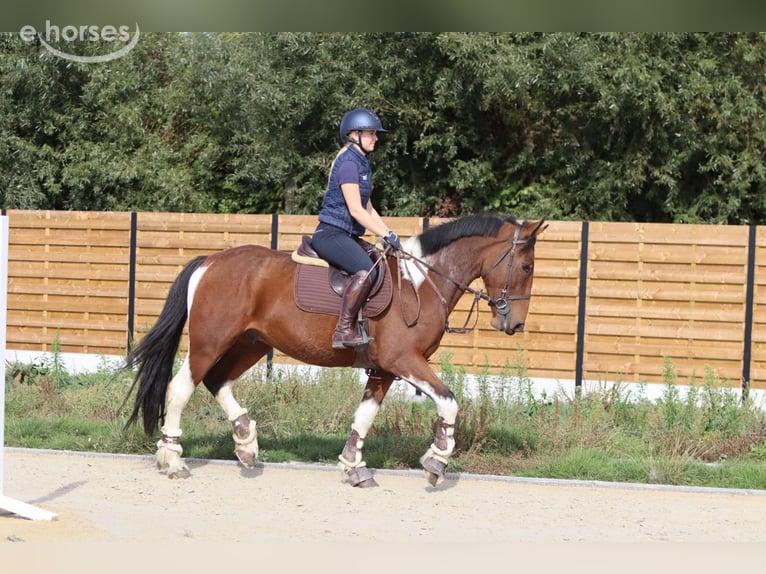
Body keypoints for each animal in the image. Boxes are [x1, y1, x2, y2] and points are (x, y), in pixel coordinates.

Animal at [124, 213, 547, 487]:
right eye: (526, 266)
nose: (515, 324)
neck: (422, 281)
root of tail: (208, 262)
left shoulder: (385, 369)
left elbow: (364, 416)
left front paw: (353, 465)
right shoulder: (404, 361)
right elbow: (449, 400)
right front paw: (437, 461)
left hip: (251, 344)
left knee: (217, 381)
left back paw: (245, 444)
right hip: (210, 342)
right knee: (182, 388)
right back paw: (173, 460)